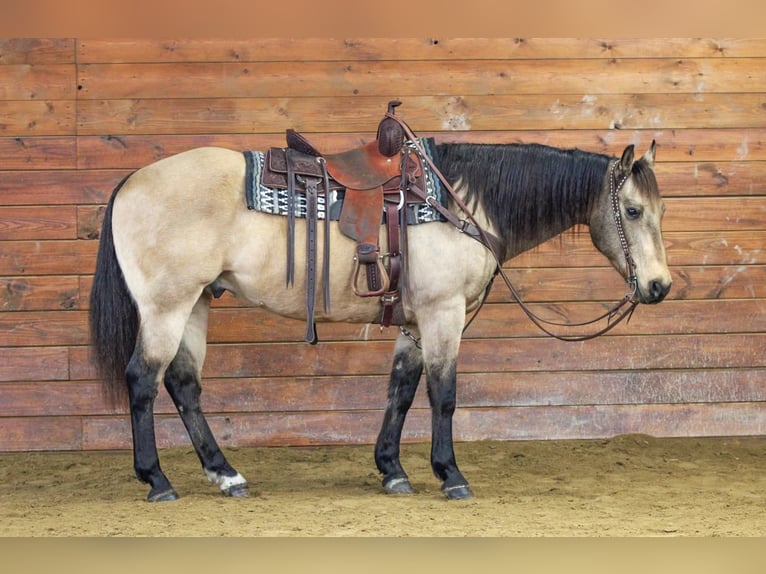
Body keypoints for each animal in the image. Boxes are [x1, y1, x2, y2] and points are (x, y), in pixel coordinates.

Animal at [89, 133, 671, 502]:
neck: (461, 203)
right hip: (166, 306)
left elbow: (401, 390)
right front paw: (450, 474)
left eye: (661, 210)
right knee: (143, 380)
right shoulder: (443, 312)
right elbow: (443, 393)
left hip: (196, 303)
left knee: (184, 385)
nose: (659, 286)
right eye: (633, 210)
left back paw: (225, 474)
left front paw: (392, 469)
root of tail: (133, 181)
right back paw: (157, 481)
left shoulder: (416, 321)